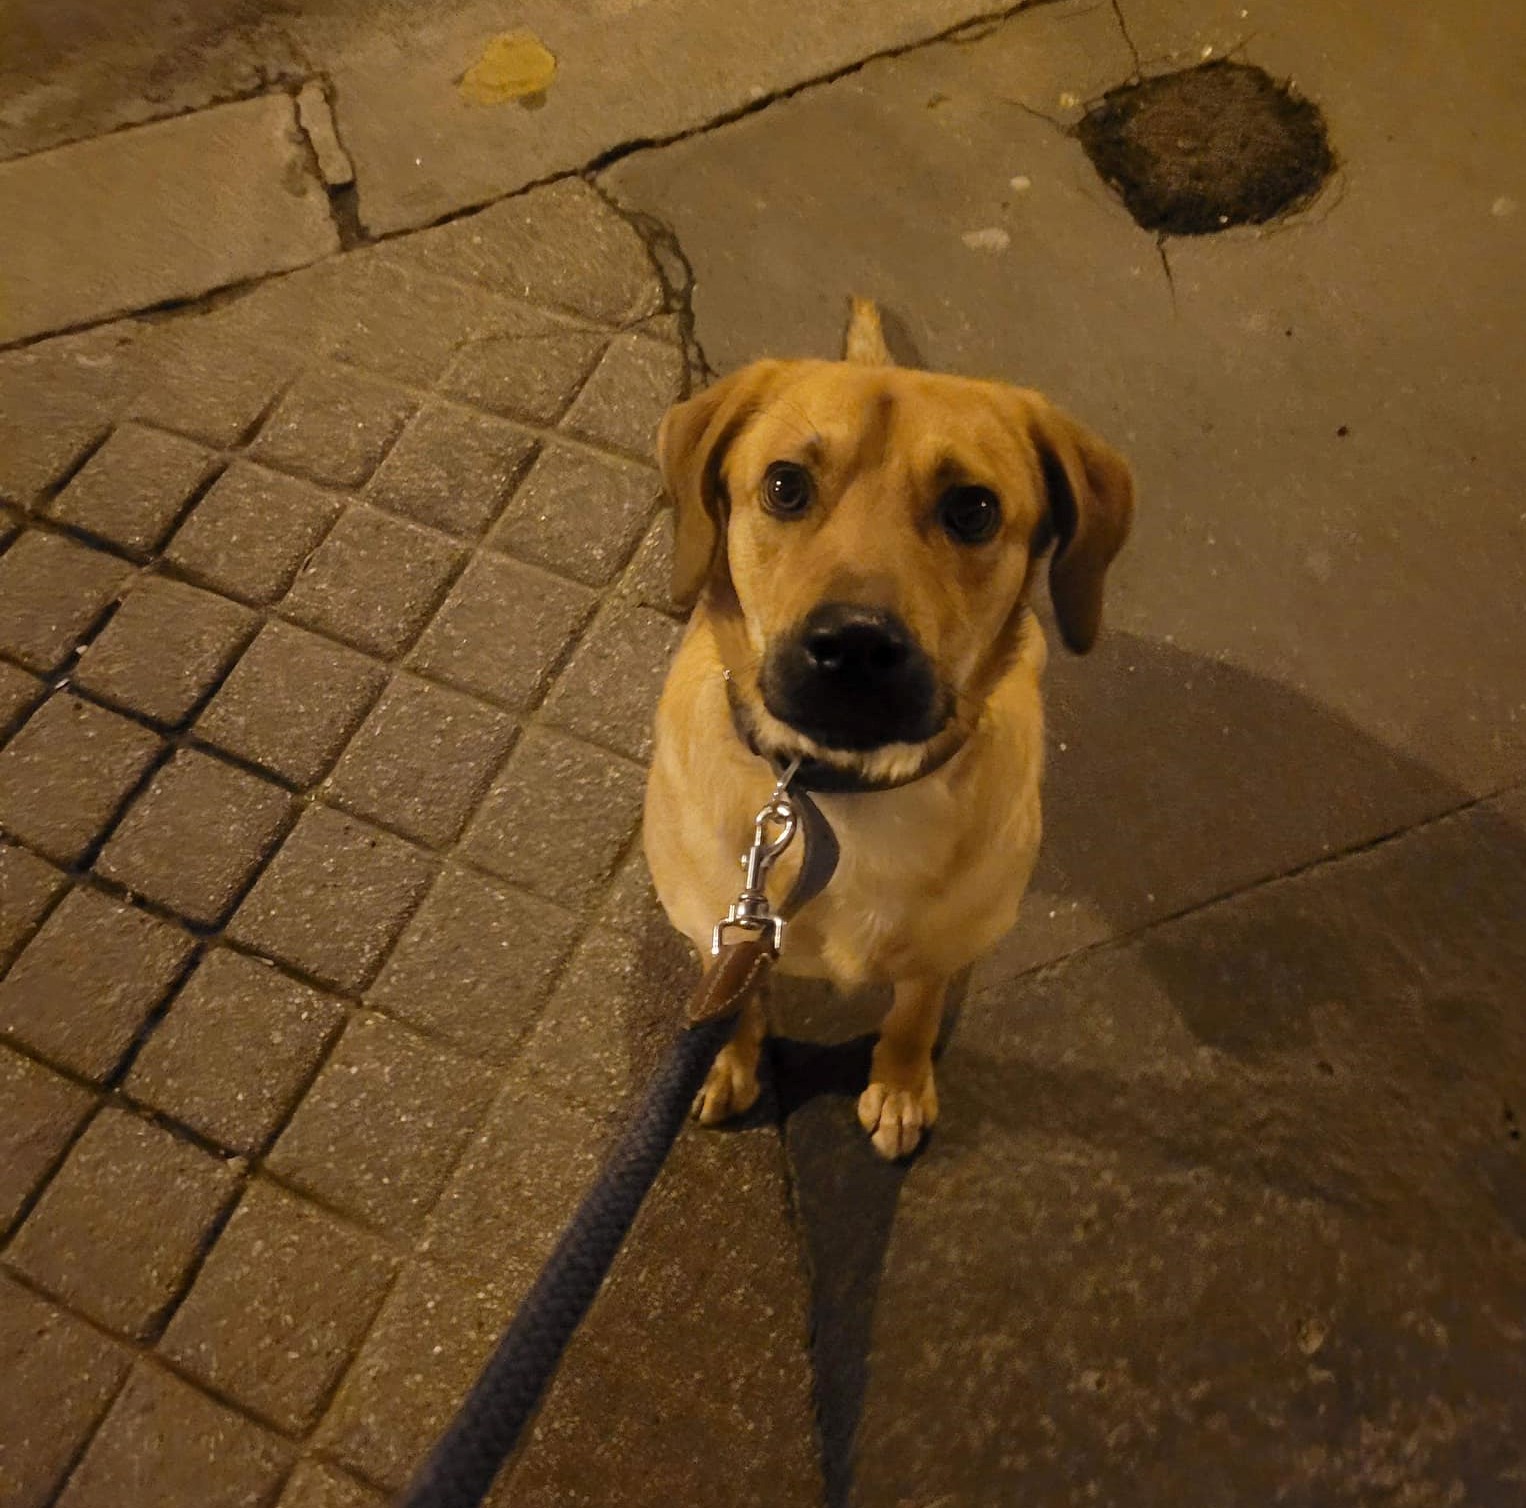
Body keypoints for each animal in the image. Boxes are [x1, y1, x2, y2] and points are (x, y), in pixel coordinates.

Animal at [637, 303, 1129, 1153]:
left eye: (973, 509)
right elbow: (732, 1003)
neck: (844, 794)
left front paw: (899, 1084)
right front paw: (726, 1059)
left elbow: (912, 1015)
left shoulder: (943, 950)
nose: (855, 645)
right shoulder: (721, 933)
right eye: (785, 485)